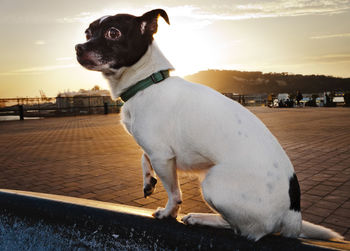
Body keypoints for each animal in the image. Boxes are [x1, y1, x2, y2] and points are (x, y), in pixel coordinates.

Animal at [74, 9, 344, 241]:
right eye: (87, 32)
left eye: (113, 32)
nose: (78, 47)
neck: (147, 82)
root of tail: (293, 214)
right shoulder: (155, 150)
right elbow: (143, 157)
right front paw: (148, 181)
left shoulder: (163, 156)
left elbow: (174, 193)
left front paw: (168, 212)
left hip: (212, 184)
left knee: (243, 229)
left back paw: (201, 217)